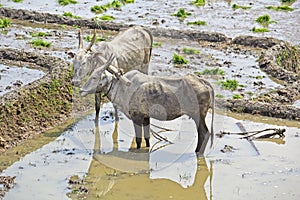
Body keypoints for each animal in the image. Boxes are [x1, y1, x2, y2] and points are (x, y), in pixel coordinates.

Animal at [79, 55, 214, 155]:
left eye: (94, 77)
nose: (81, 90)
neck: (122, 87)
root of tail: (202, 81)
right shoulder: (145, 117)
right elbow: (147, 138)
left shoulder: (137, 117)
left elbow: (139, 140)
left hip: (198, 115)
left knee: (204, 133)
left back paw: (197, 153)